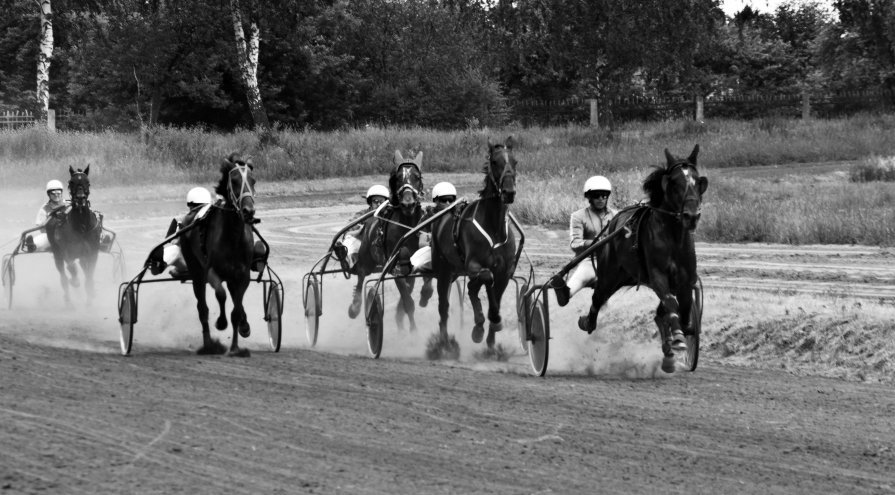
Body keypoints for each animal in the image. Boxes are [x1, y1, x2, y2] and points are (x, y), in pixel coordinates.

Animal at [45, 167, 102, 306]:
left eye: (88, 182)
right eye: (71, 182)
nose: (80, 199)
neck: (82, 228)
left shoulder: (93, 252)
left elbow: (89, 274)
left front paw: (90, 297)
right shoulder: (67, 251)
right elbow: (71, 267)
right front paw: (75, 281)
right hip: (57, 254)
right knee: (63, 276)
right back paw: (68, 301)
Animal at [179, 155, 256, 356]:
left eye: (253, 180)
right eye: (234, 181)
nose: (249, 211)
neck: (233, 237)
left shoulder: (243, 275)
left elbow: (236, 309)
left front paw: (236, 347)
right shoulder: (211, 271)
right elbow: (220, 294)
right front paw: (221, 322)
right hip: (196, 271)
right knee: (202, 308)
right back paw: (208, 345)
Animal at [348, 149, 428, 332]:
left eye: (416, 177)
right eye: (398, 177)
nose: (408, 203)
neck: (407, 228)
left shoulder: (412, 267)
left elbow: (409, 292)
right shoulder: (396, 268)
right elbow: (408, 301)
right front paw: (413, 332)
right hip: (366, 259)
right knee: (361, 275)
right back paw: (355, 307)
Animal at [432, 138, 520, 350]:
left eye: (515, 162)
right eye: (494, 162)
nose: (509, 192)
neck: (494, 227)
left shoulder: (505, 271)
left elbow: (494, 295)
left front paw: (491, 334)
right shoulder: (473, 264)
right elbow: (486, 278)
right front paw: (483, 324)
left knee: (473, 287)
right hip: (443, 270)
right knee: (443, 307)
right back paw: (445, 343)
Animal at [584, 145, 712, 374]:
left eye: (698, 181)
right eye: (675, 182)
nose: (691, 216)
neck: (673, 237)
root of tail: (613, 222)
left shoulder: (685, 280)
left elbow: (683, 308)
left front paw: (679, 338)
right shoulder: (658, 275)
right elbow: (670, 302)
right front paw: (677, 338)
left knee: (660, 313)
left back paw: (668, 353)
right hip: (610, 275)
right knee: (597, 298)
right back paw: (588, 322)